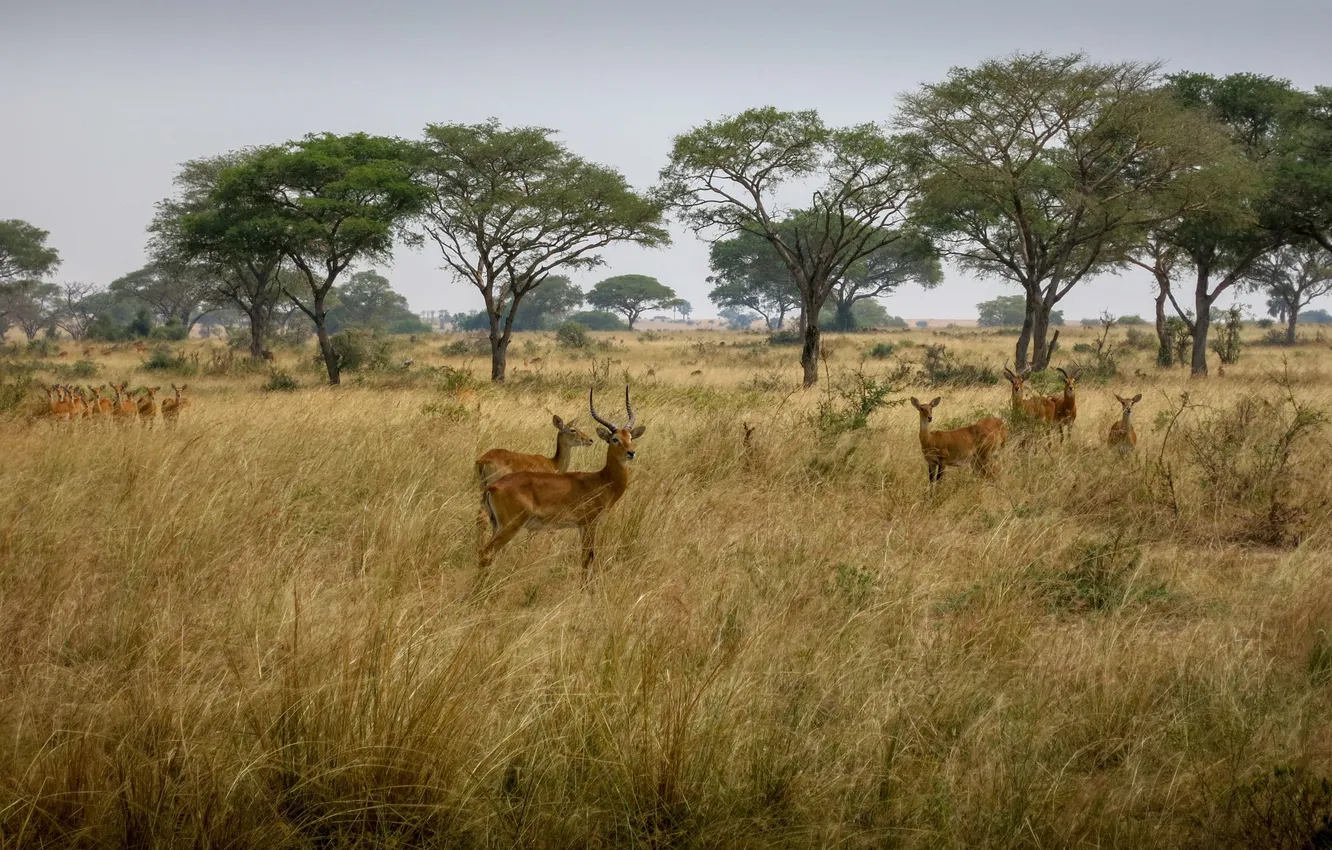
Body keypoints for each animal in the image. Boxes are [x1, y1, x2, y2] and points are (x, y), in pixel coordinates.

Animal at [478, 386, 646, 577]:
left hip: (496, 525)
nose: (631, 453)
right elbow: (587, 559)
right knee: (485, 552)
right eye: (614, 439)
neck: (602, 481)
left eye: (630, 438)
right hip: (509, 527)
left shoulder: (582, 526)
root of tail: (493, 487)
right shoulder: (588, 524)